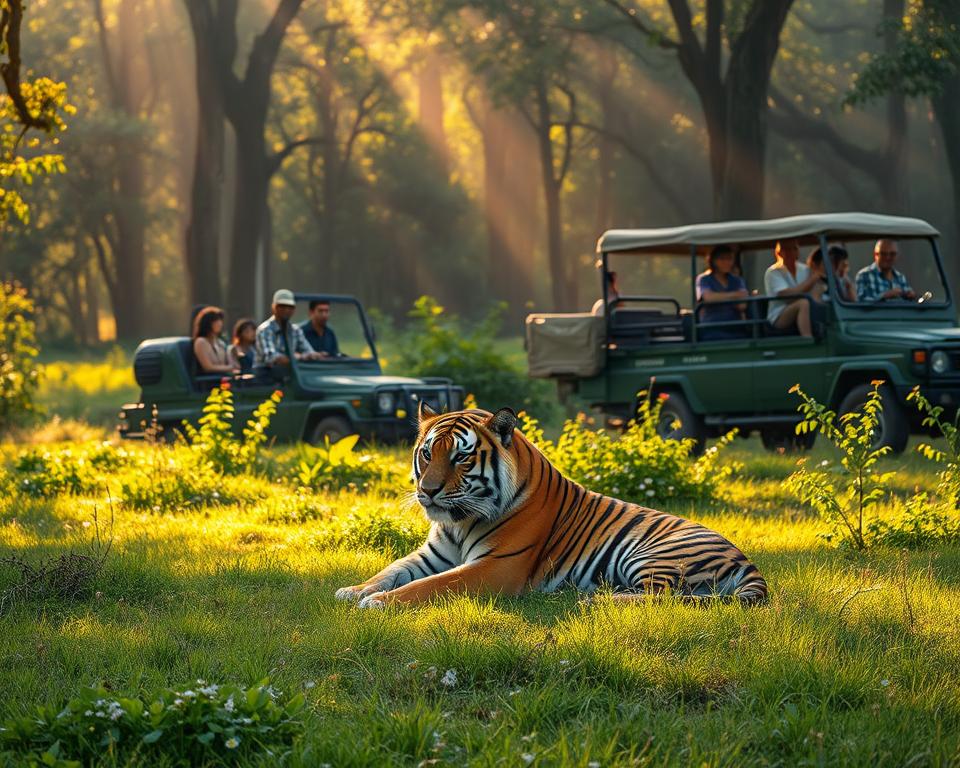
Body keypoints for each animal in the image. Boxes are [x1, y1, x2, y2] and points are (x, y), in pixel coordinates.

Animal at [334, 405, 767, 608]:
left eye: (460, 457)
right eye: (427, 454)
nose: (427, 491)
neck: (458, 522)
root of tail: (746, 560)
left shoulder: (495, 568)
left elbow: (428, 586)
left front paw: (377, 603)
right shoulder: (431, 554)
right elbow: (392, 571)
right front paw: (354, 590)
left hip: (652, 553)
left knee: (664, 597)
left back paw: (595, 599)